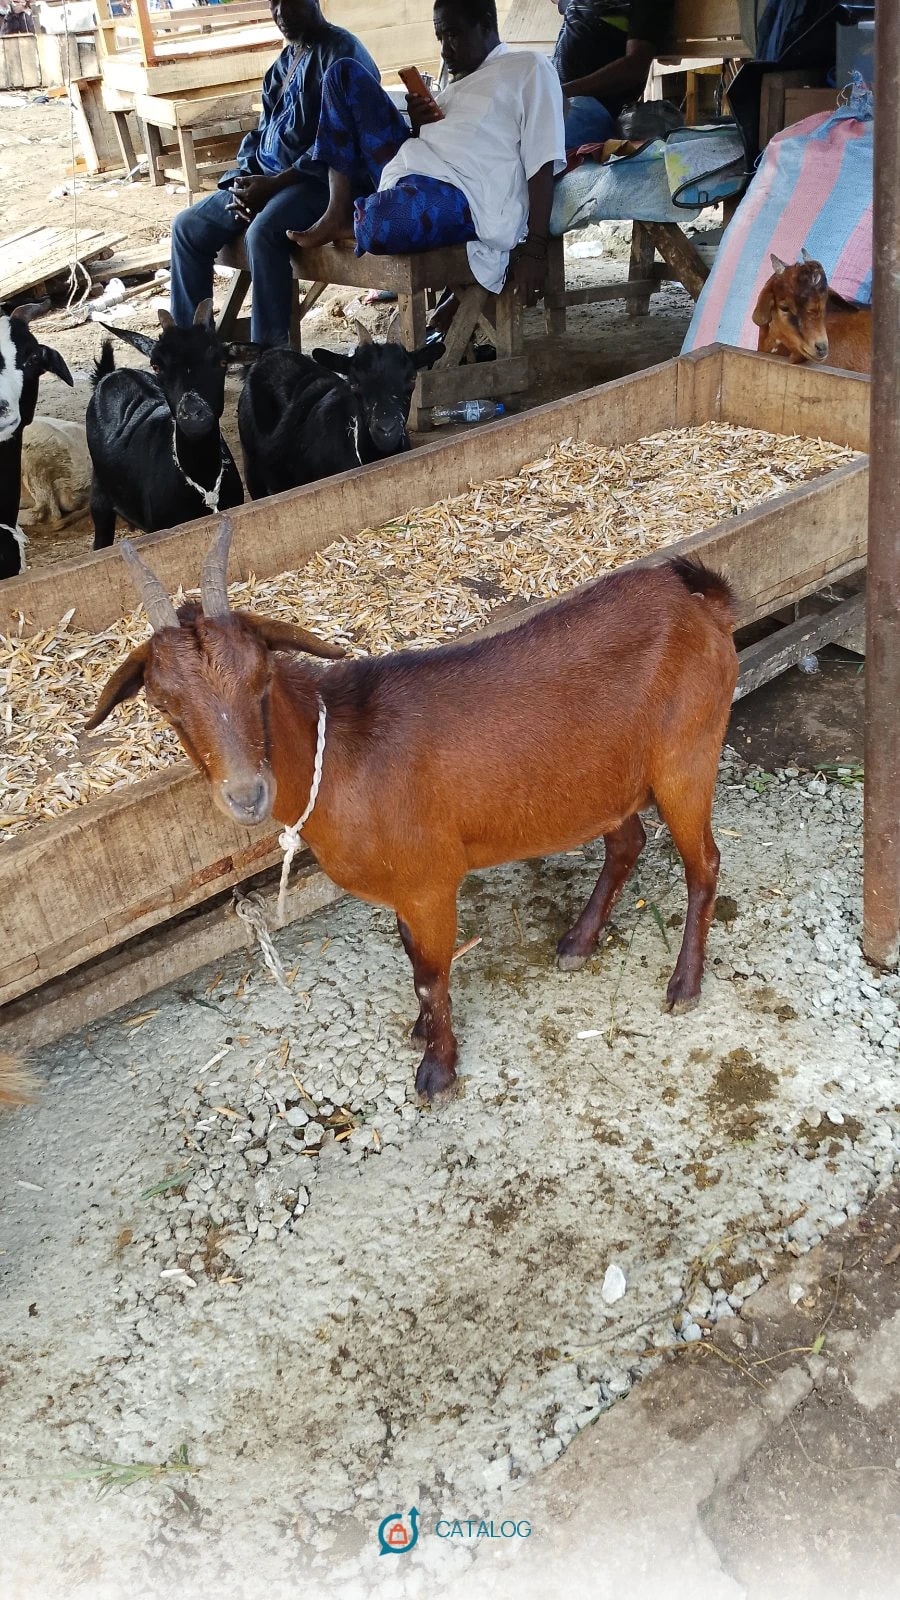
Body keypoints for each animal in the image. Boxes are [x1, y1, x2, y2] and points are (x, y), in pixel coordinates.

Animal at [86, 300, 243, 551]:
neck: (204, 481)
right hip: (99, 496)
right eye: (156, 365)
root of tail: (110, 373)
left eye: (222, 362)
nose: (194, 415)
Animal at [89, 520, 738, 1103]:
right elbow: (414, 961)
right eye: (162, 702)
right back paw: (578, 942)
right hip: (604, 779)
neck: (340, 755)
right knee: (627, 843)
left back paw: (684, 983)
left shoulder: (429, 881)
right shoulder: (405, 888)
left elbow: (431, 973)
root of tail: (702, 605)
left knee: (704, 863)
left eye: (260, 676)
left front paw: (438, 1071)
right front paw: (424, 1032)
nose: (247, 794)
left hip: (686, 757)